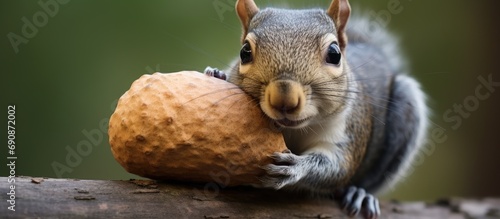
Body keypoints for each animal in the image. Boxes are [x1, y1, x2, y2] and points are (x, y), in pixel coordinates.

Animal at [205, 0, 428, 217]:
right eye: (244, 52)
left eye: (334, 54)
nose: (284, 98)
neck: (293, 130)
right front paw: (217, 74)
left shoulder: (347, 128)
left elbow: (337, 166)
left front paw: (296, 167)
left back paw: (360, 194)